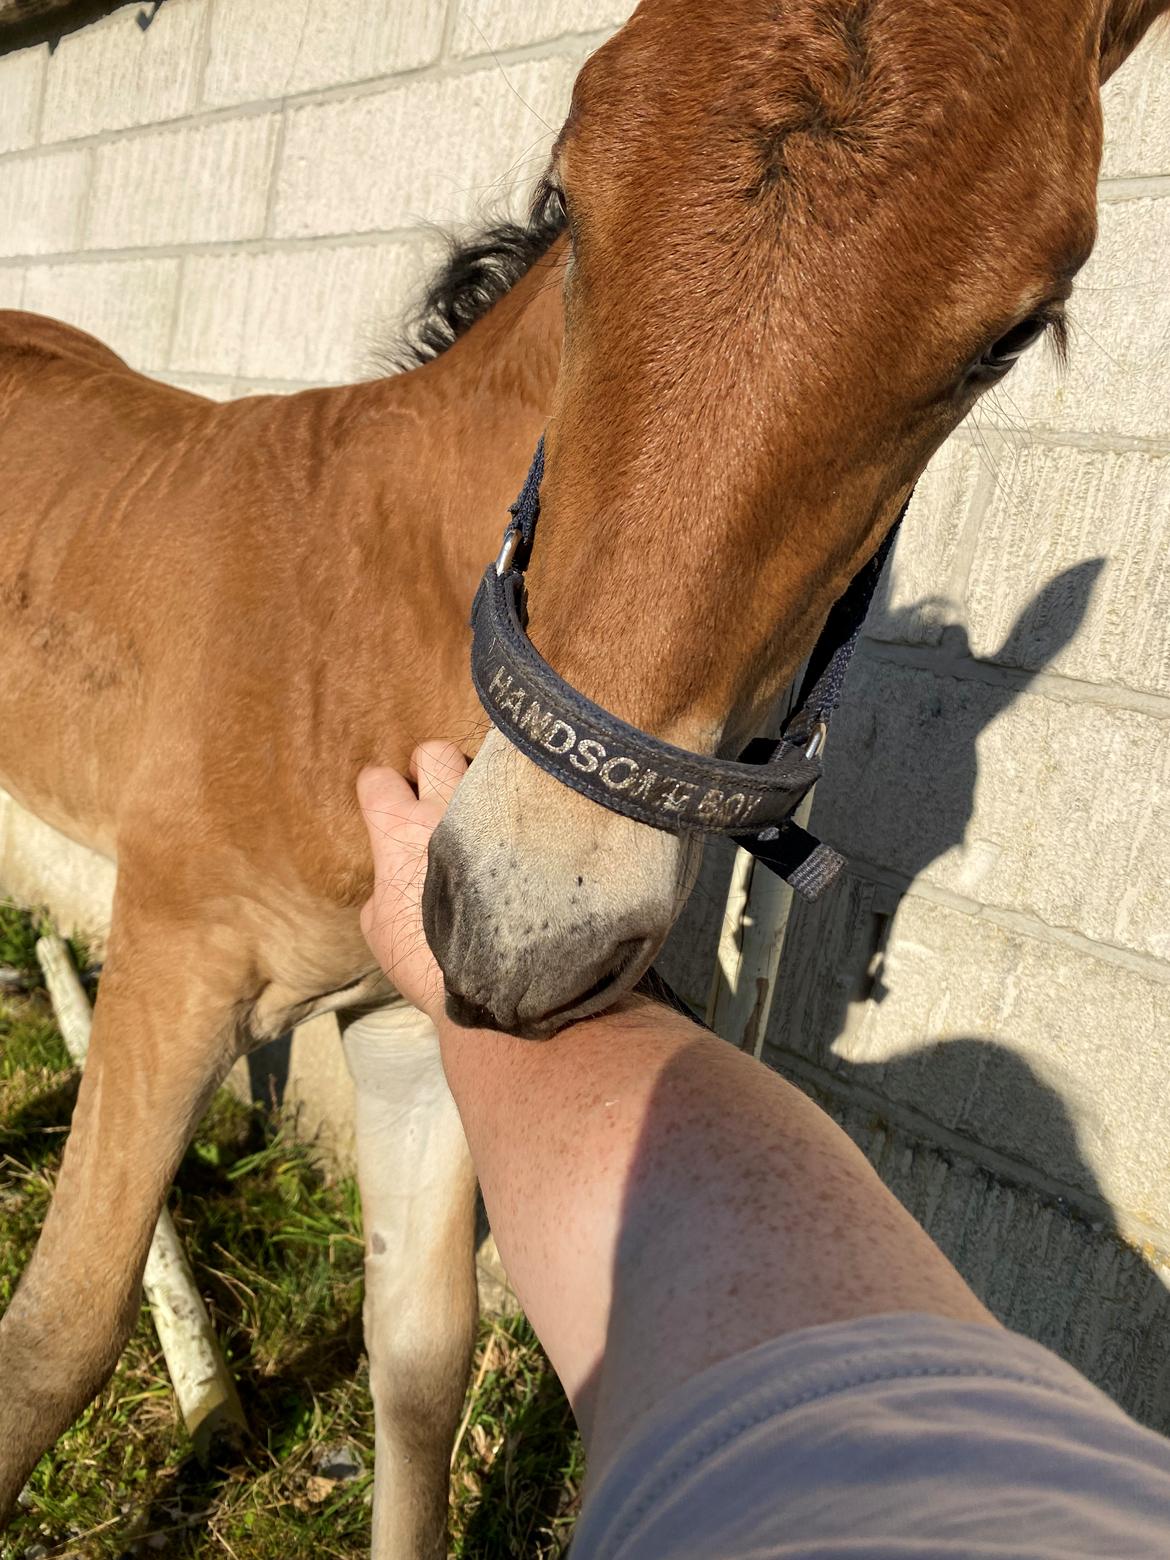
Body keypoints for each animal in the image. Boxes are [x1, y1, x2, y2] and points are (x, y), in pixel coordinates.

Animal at [0, 0, 1166, 1553]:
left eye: (1009, 336)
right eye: (571, 195)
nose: (531, 920)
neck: (371, 604)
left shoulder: (409, 1017)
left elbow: (418, 1364)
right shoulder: (180, 957)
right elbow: (57, 1338)